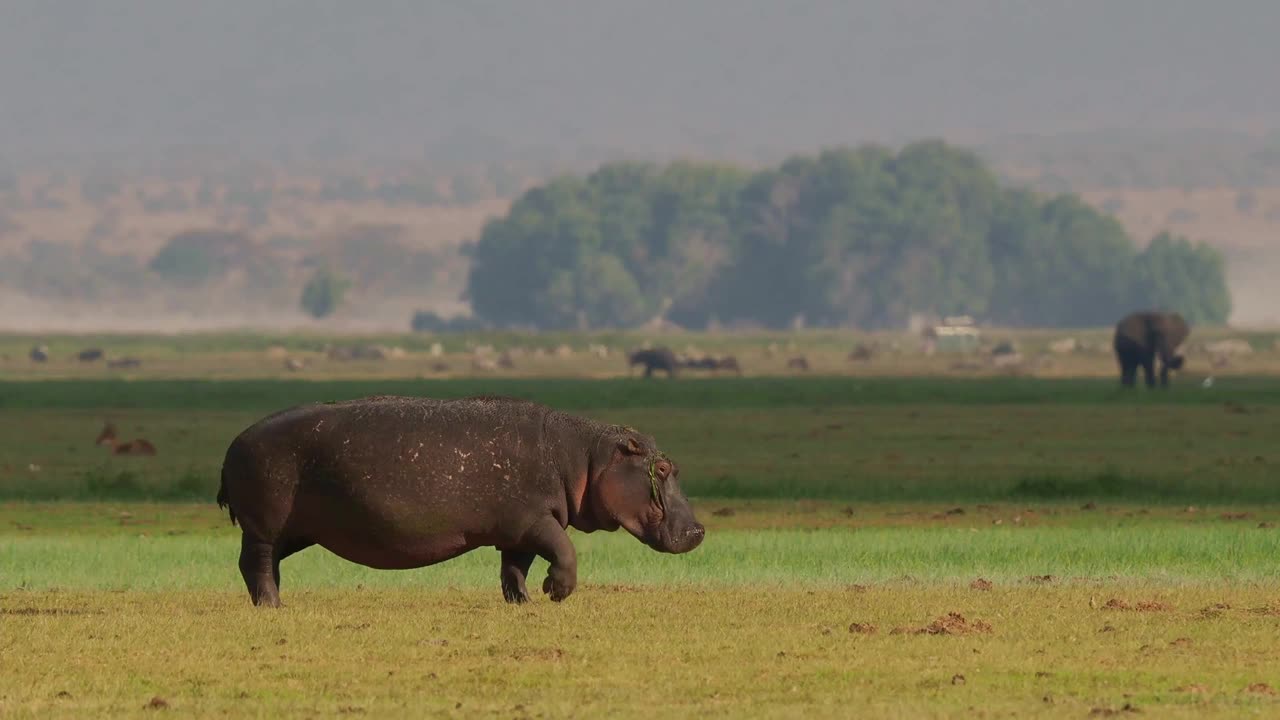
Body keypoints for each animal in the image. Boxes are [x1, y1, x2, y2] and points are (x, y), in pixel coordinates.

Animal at [215, 392, 706, 604]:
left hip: (295, 530)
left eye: (675, 466)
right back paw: (272, 605)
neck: (586, 457)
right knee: (255, 563)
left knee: (263, 564)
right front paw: (555, 592)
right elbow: (565, 551)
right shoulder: (535, 519)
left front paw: (524, 602)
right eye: (662, 470)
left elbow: (514, 568)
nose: (700, 530)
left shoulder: (519, 529)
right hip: (265, 525)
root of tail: (234, 441)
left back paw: (275, 600)